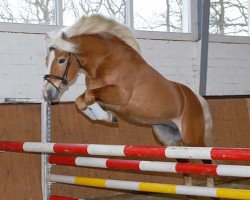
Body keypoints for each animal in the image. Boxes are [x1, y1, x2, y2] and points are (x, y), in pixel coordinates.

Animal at [42, 14, 215, 187]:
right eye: (46, 60)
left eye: (61, 60)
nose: (47, 93)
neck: (105, 60)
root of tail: (195, 98)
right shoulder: (103, 97)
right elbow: (81, 101)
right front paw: (107, 117)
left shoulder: (120, 95)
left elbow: (89, 96)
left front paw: (108, 117)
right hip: (168, 138)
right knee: (184, 162)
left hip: (191, 138)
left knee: (207, 159)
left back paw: (209, 187)